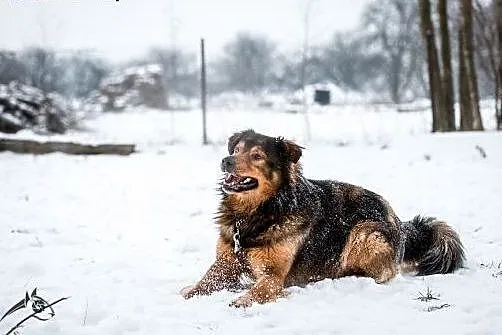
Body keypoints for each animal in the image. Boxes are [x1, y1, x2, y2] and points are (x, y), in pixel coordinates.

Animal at [178, 130, 464, 308]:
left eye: (257, 155)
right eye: (236, 149)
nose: (226, 160)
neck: (257, 214)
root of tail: (403, 226)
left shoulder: (273, 274)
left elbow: (261, 289)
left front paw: (243, 299)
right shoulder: (225, 263)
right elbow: (204, 282)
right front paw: (188, 291)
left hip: (365, 233)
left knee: (385, 273)